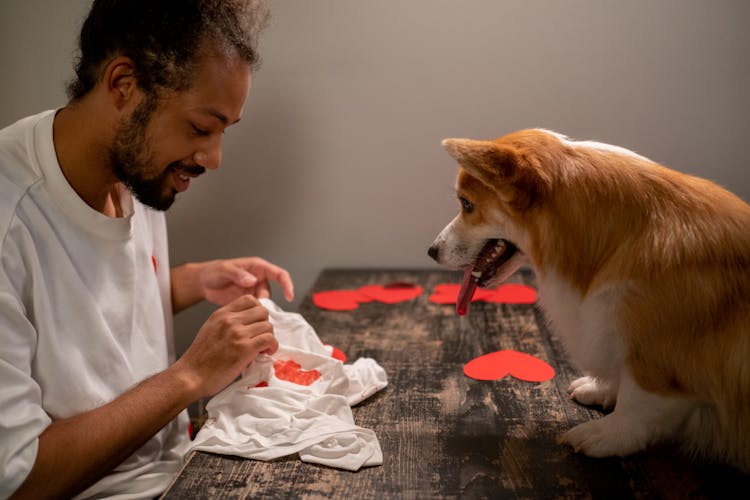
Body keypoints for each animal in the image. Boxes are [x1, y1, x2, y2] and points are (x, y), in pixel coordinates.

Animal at [428, 128, 750, 468]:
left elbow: (638, 401)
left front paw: (606, 434)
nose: (431, 251)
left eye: (467, 204)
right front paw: (601, 389)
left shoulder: (655, 352)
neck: (607, 244)